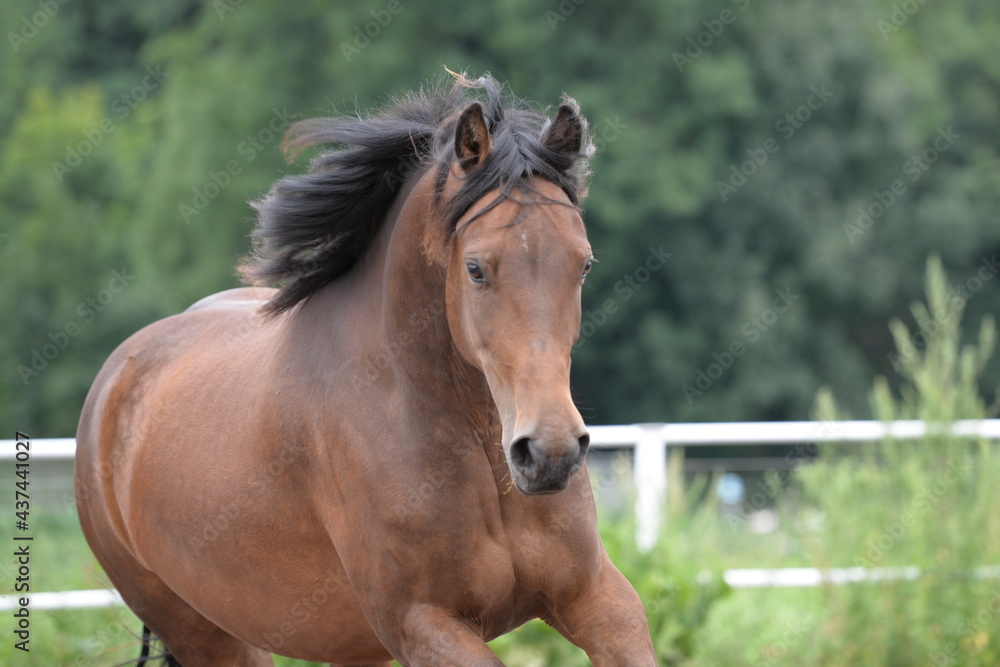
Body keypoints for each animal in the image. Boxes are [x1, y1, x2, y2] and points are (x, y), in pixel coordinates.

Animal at [75, 72, 656, 666]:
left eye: (583, 264)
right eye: (475, 269)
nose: (549, 452)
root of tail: (113, 384)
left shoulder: (596, 596)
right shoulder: (421, 623)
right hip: (208, 635)